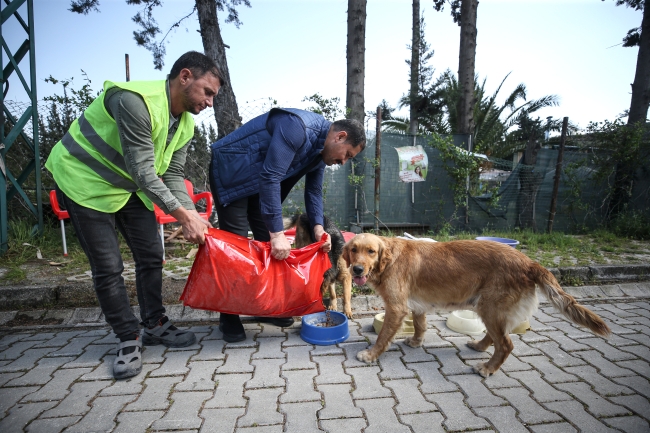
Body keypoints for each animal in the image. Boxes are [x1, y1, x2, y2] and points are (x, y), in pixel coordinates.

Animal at [342, 231, 612, 376]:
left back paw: (487, 368)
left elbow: (383, 336)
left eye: (371, 251)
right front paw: (416, 342)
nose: (356, 269)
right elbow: (420, 325)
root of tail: (529, 262)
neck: (389, 260)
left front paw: (371, 354)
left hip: (490, 308)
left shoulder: (396, 308)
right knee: (496, 337)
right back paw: (479, 347)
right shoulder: (417, 305)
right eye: (353, 250)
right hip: (490, 309)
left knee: (506, 344)